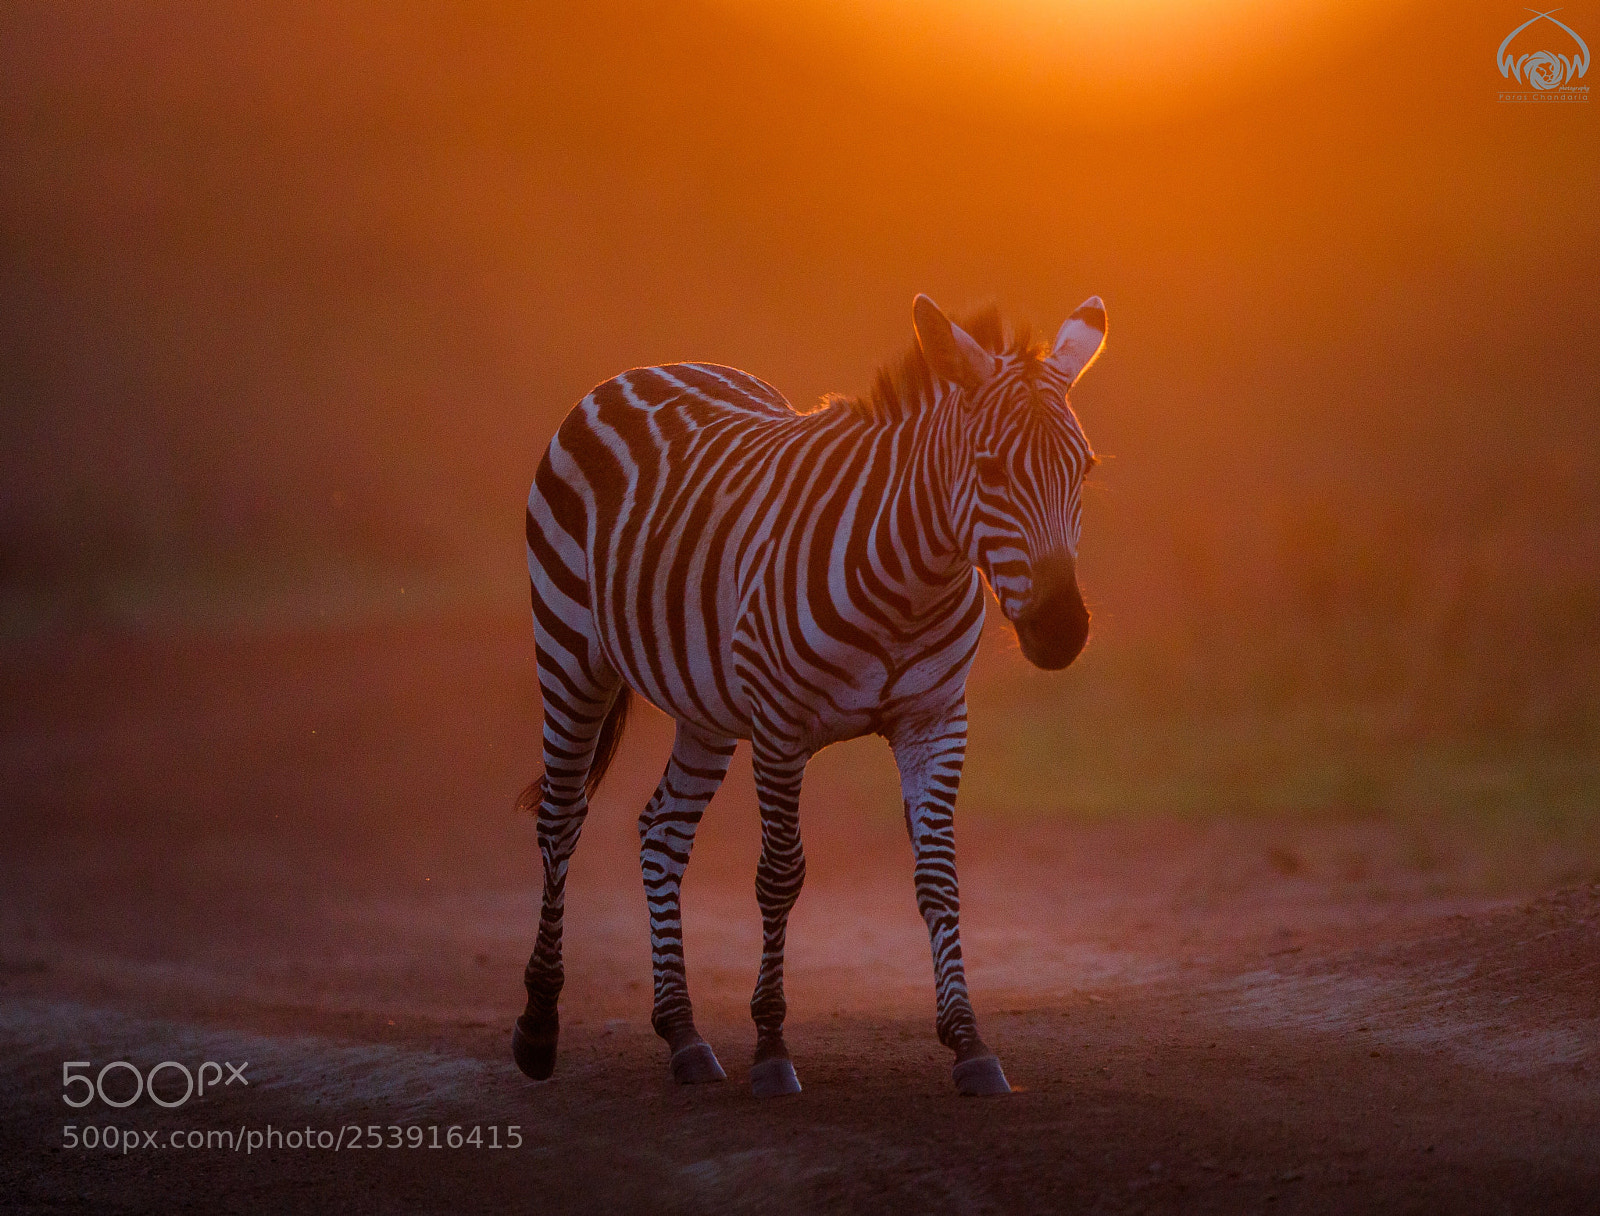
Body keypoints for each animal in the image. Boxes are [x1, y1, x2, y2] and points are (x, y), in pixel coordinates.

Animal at [515, 293, 1106, 1097]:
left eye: (1085, 470)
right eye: (988, 470)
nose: (1062, 632)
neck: (910, 586)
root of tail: (649, 368)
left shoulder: (935, 721)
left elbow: (939, 879)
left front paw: (970, 1043)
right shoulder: (779, 725)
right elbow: (780, 877)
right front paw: (771, 1049)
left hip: (704, 706)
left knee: (661, 830)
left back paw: (685, 1036)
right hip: (571, 653)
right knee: (562, 819)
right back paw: (539, 1028)